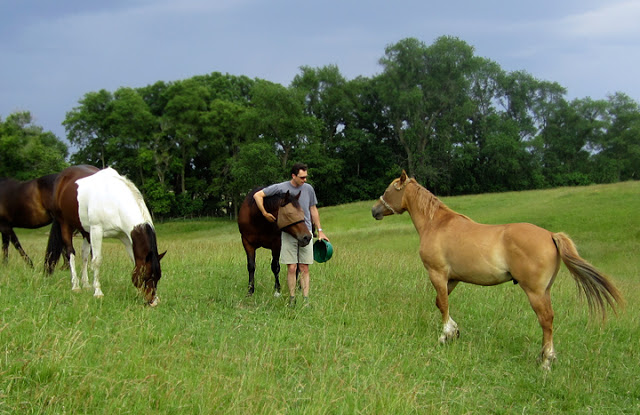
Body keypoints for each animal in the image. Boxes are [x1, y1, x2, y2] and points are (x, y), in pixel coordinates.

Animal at [45, 165, 165, 306]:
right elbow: (97, 261)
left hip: (85, 230)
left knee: (84, 255)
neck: (114, 202)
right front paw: (98, 292)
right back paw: (76, 285)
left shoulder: (126, 237)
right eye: (146, 276)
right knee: (70, 253)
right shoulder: (96, 230)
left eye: (158, 276)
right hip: (65, 224)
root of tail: (62, 177)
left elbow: (133, 260)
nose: (151, 301)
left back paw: (86, 284)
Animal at [371, 170, 623, 370]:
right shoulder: (452, 279)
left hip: (535, 292)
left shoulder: (437, 273)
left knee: (546, 320)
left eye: (388, 189)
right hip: (545, 291)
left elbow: (442, 304)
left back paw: (545, 361)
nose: (374, 210)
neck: (436, 223)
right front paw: (454, 331)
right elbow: (440, 303)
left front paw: (445, 335)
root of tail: (551, 235)